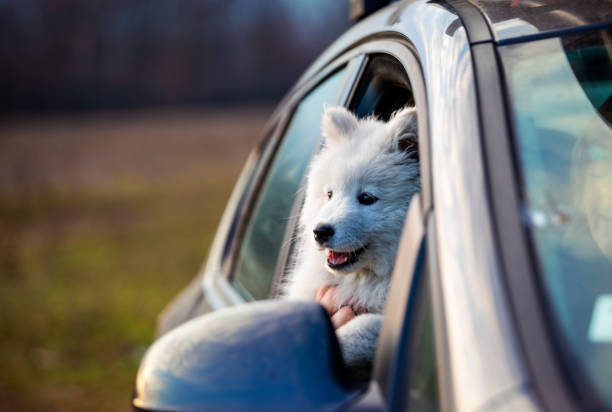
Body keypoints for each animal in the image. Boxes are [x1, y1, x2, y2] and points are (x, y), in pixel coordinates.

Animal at [284, 104, 418, 374]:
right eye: (329, 194)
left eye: (366, 198)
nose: (320, 231)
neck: (365, 279)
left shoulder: (377, 322)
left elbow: (362, 328)